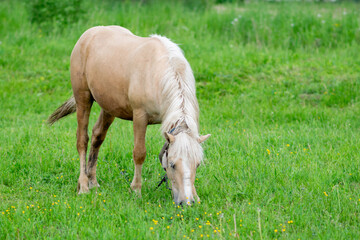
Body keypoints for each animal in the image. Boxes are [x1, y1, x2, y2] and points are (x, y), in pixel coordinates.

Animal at [48, 26, 211, 206]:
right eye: (172, 164)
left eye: (197, 164)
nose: (186, 202)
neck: (158, 74)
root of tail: (88, 34)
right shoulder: (140, 117)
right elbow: (139, 153)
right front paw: (136, 190)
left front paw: (196, 196)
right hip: (83, 98)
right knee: (82, 140)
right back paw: (83, 186)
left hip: (108, 107)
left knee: (97, 136)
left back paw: (93, 182)